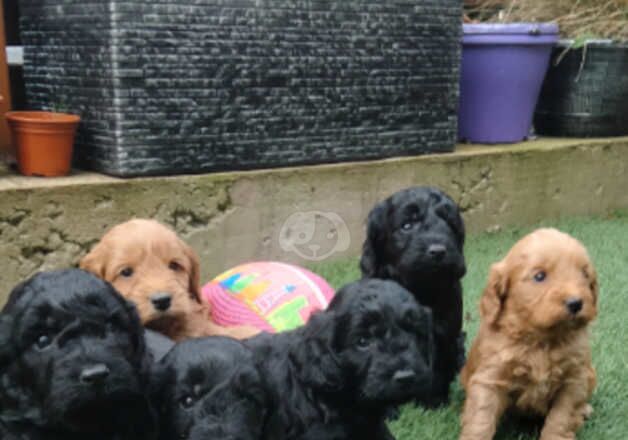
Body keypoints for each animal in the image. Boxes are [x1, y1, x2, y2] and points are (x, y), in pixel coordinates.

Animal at [358, 186, 466, 406]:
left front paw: (435, 402)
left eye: (449, 224)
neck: (420, 288)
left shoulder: (445, 334)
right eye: (407, 226)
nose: (438, 251)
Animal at [462, 229, 600, 438]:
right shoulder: (490, 378)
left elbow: (561, 419)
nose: (576, 303)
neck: (542, 341)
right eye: (540, 276)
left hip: (590, 373)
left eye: (584, 274)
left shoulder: (574, 380)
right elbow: (481, 419)